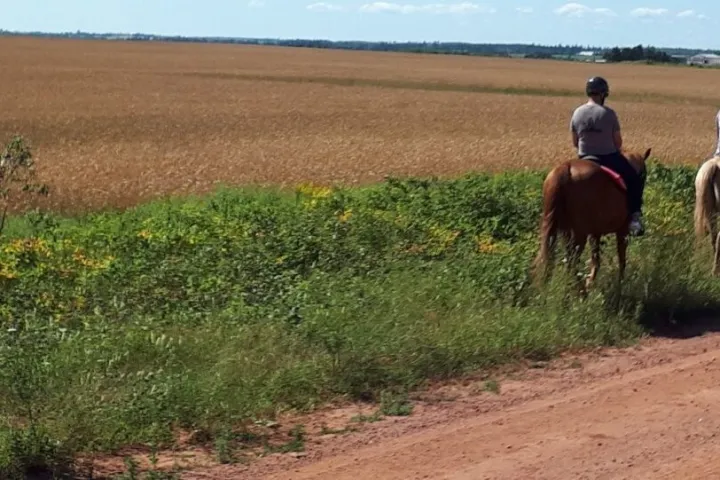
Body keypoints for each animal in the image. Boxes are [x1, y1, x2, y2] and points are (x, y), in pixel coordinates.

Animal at [532, 148, 652, 293]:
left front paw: (590, 281)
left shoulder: (595, 232)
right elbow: (621, 259)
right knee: (573, 261)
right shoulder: (621, 231)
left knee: (560, 258)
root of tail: (565, 168)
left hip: (562, 230)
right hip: (579, 233)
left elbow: (596, 260)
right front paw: (620, 285)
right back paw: (579, 291)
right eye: (643, 175)